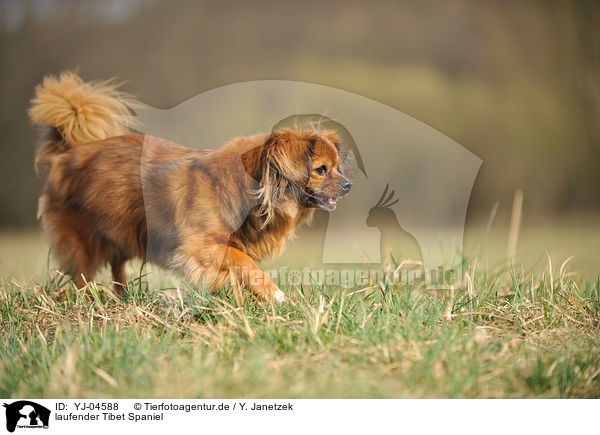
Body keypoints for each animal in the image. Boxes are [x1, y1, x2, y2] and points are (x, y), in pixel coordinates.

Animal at [28, 72, 352, 304]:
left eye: (338, 167)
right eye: (321, 170)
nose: (348, 185)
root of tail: (69, 152)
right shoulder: (201, 246)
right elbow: (244, 262)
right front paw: (272, 294)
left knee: (117, 266)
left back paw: (123, 298)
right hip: (81, 243)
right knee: (81, 277)